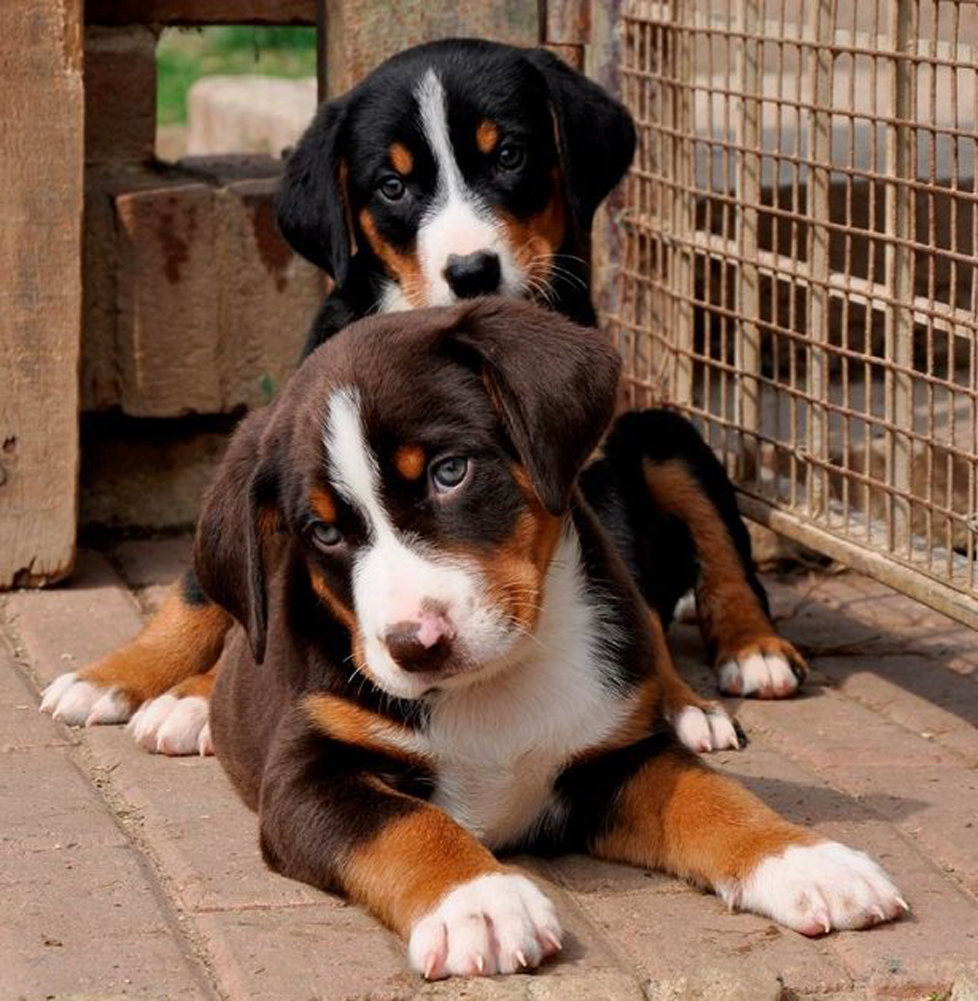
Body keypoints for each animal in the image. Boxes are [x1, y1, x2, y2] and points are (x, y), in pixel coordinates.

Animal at [193, 296, 908, 976]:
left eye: (450, 471)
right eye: (324, 533)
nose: (415, 645)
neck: (496, 685)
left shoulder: (618, 758)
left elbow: (714, 798)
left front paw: (806, 860)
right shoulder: (307, 778)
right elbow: (408, 824)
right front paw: (476, 902)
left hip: (664, 439)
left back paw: (730, 675)